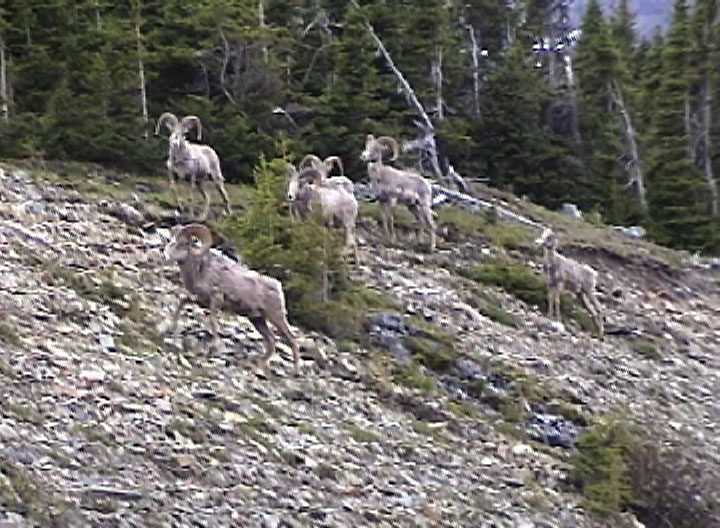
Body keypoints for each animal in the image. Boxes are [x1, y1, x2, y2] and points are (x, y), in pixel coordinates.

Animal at [162, 223, 300, 376]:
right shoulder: (202, 300)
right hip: (258, 320)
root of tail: (278, 287)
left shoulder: (216, 300)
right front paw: (171, 327)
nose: (165, 254)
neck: (201, 270)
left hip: (276, 318)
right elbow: (182, 302)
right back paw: (257, 367)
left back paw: (295, 371)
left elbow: (213, 322)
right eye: (172, 240)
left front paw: (214, 347)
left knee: (292, 341)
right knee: (271, 342)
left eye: (182, 244)